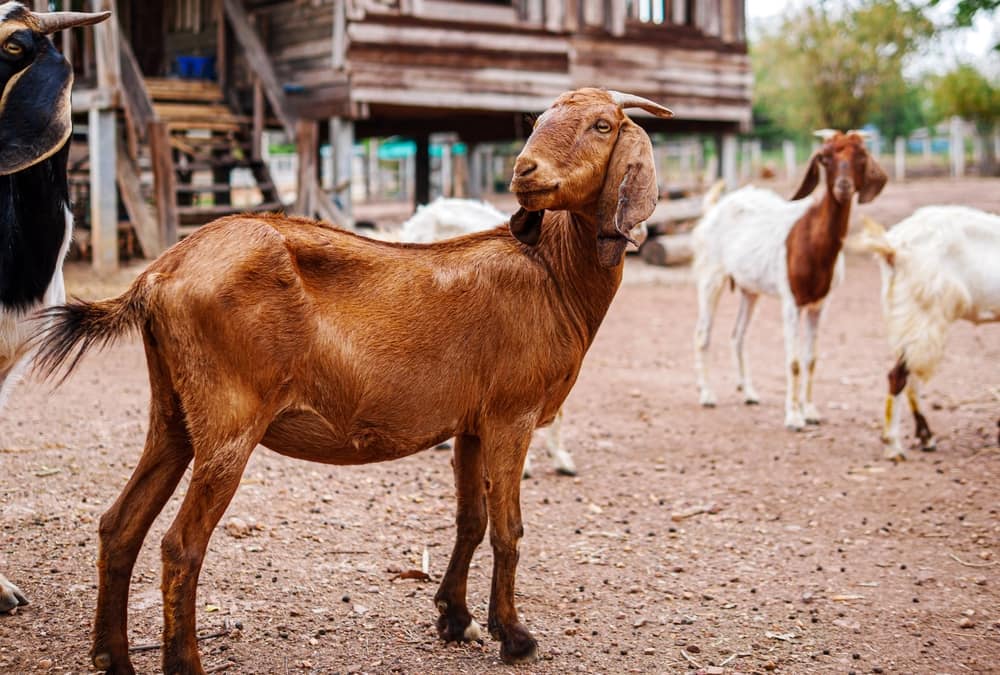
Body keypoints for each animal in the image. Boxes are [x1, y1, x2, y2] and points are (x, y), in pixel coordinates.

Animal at [692, 130, 887, 429]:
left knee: (738, 335)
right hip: (710, 275)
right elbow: (793, 361)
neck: (812, 243)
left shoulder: (819, 304)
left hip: (749, 289)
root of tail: (714, 208)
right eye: (825, 157)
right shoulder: (791, 302)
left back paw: (749, 392)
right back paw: (707, 395)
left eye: (861, 155)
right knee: (703, 334)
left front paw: (810, 411)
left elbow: (811, 359)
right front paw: (794, 417)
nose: (843, 187)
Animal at [860, 208, 1000, 460]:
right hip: (925, 315)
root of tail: (894, 245)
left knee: (910, 376)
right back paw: (894, 446)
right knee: (898, 376)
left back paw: (925, 437)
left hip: (909, 318)